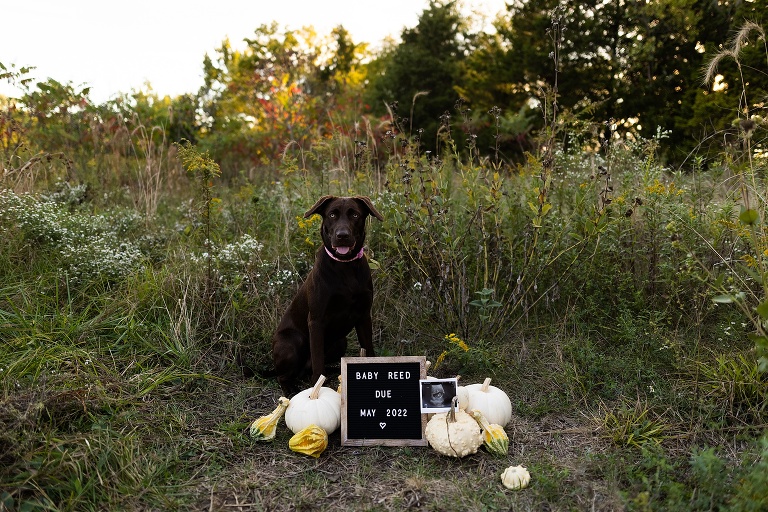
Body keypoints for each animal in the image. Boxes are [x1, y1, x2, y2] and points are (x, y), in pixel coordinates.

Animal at [272, 194, 388, 394]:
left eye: (355, 215)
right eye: (332, 215)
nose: (342, 236)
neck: (345, 266)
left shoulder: (364, 316)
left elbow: (369, 349)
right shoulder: (316, 320)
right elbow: (318, 363)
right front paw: (316, 389)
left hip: (341, 342)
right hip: (292, 341)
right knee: (284, 376)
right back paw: (291, 390)